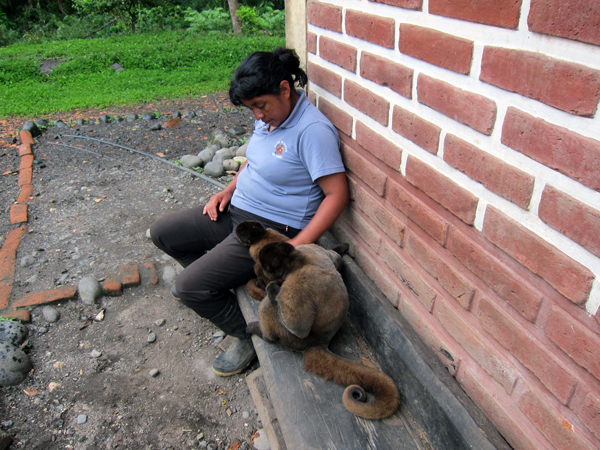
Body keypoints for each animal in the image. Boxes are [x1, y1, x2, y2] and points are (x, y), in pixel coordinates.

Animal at [244, 241, 398, 420]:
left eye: (267, 267)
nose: (266, 273)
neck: (300, 260)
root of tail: (322, 341)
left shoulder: (296, 281)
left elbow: (299, 327)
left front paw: (272, 287)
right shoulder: (311, 248)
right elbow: (335, 258)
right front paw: (342, 248)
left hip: (293, 339)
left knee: (268, 306)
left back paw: (263, 331)